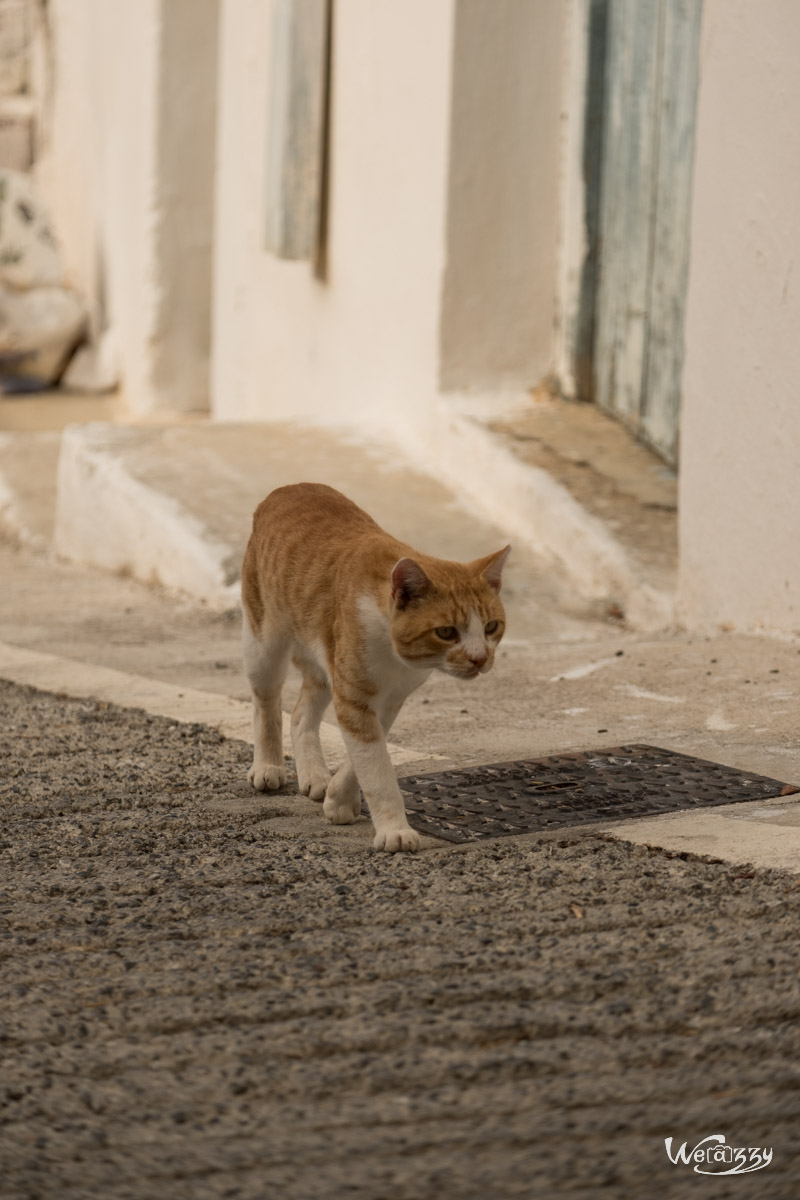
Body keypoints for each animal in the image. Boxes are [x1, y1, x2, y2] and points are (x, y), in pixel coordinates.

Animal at [241, 482, 510, 849]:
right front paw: (395, 830)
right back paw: (268, 766)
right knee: (266, 702)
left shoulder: (388, 698)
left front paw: (339, 798)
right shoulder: (354, 696)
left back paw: (314, 775)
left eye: (491, 627)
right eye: (446, 632)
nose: (480, 658)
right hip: (263, 639)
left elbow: (363, 759)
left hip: (324, 662)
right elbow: (377, 769)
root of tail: (290, 487)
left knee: (299, 714)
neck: (396, 658)